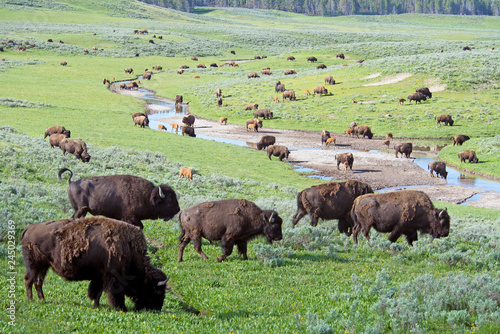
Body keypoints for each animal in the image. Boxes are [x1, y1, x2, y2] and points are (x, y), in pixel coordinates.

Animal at [21, 217, 169, 310]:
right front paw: (121, 308)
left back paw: (42, 300)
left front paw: (96, 306)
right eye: (156, 290)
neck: (131, 250)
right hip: (34, 266)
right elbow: (113, 294)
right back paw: (30, 301)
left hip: (43, 267)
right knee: (29, 280)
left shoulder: (100, 276)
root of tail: (29, 228)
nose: (157, 308)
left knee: (38, 282)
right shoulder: (113, 278)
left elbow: (97, 292)